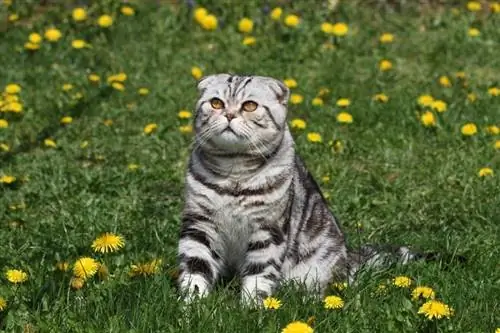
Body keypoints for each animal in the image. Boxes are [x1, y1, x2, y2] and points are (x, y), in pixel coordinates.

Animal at [178, 74, 424, 304]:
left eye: (250, 106)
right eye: (216, 103)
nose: (229, 115)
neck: (234, 170)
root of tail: (348, 256)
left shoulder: (268, 230)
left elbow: (259, 275)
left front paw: (252, 308)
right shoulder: (199, 224)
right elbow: (195, 268)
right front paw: (192, 305)